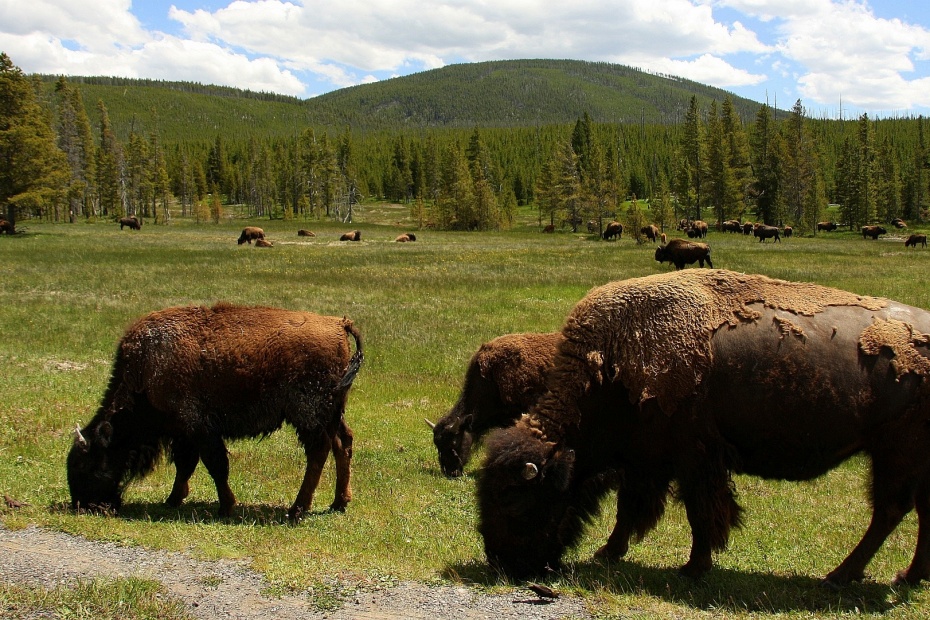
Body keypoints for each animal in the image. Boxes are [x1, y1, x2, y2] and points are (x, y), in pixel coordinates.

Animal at [65, 302, 360, 520]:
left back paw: (297, 510)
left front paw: (225, 506)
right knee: (342, 443)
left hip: (308, 415)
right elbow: (186, 465)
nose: (83, 505)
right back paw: (338, 503)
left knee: (319, 452)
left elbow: (214, 466)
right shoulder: (185, 433)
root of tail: (338, 323)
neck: (146, 371)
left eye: (85, 464)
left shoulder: (198, 429)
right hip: (331, 413)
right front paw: (173, 499)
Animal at [474, 270, 928, 588]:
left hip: (894, 452)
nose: (500, 562)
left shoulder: (694, 458)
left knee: (889, 510)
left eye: (513, 499)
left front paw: (693, 567)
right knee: (917, 511)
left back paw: (840, 576)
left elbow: (700, 512)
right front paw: (609, 551)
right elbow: (630, 509)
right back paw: (907, 577)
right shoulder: (646, 462)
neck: (610, 367)